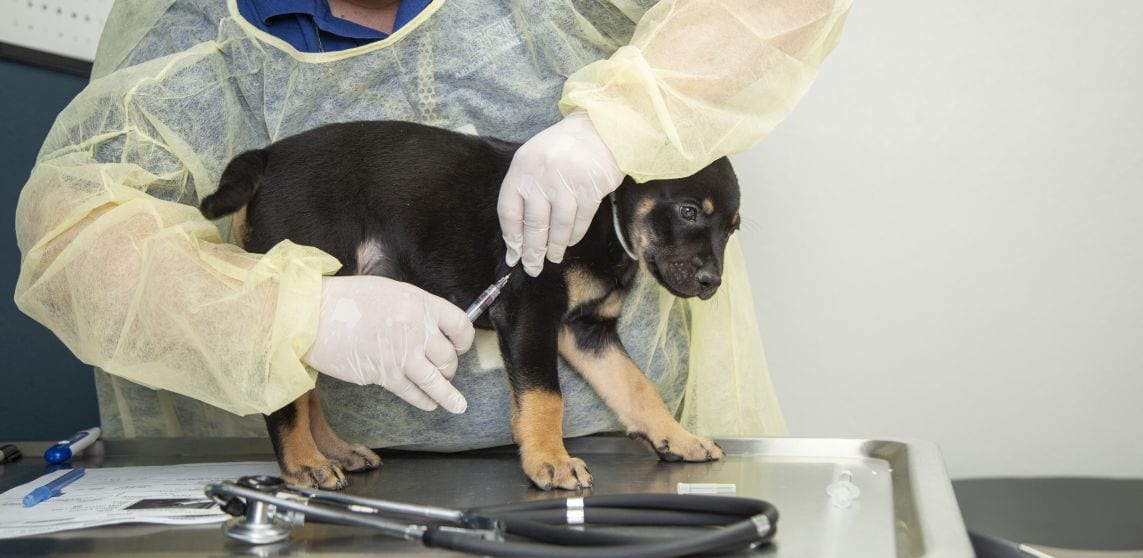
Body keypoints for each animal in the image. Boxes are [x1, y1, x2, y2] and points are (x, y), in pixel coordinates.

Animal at [201, 121, 740, 489]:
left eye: (733, 229)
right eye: (689, 211)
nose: (712, 283)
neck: (601, 217)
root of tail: (265, 157)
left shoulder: (589, 331)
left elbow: (637, 388)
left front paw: (678, 437)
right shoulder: (529, 312)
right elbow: (546, 397)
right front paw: (549, 460)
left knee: (305, 388)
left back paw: (335, 452)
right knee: (284, 393)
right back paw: (304, 464)